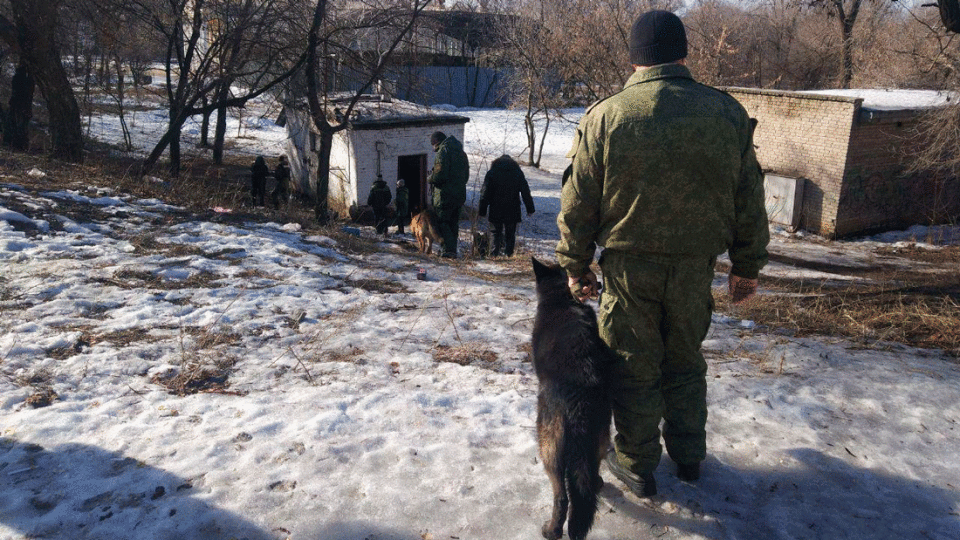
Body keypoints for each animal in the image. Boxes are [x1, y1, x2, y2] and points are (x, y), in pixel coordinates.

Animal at [532, 258, 616, 540]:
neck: (562, 298)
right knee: (590, 473)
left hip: (549, 448)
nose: (597, 282)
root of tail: (579, 399)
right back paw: (598, 484)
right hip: (600, 434)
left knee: (562, 497)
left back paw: (552, 530)